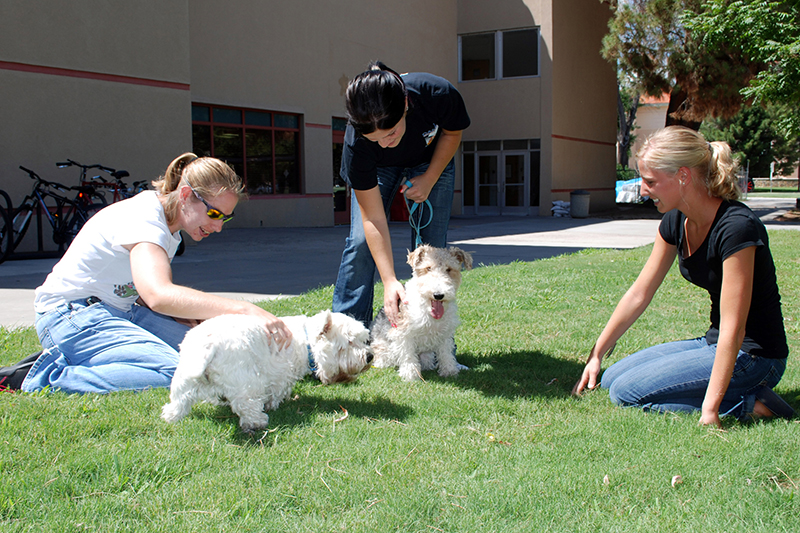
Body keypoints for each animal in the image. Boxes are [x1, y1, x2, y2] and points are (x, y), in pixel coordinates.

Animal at [163, 310, 376, 430]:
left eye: (363, 339)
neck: (305, 339)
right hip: (246, 382)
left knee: (179, 401)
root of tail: (208, 344)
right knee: (245, 405)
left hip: (183, 379)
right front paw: (274, 405)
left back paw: (171, 417)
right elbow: (276, 391)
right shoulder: (279, 374)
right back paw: (257, 421)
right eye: (349, 342)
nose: (369, 357)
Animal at [370, 243, 472, 380]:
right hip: (385, 349)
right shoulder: (403, 333)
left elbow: (446, 354)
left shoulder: (445, 334)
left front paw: (449, 371)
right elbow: (408, 356)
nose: (438, 295)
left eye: (449, 269)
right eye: (428, 268)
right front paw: (411, 375)